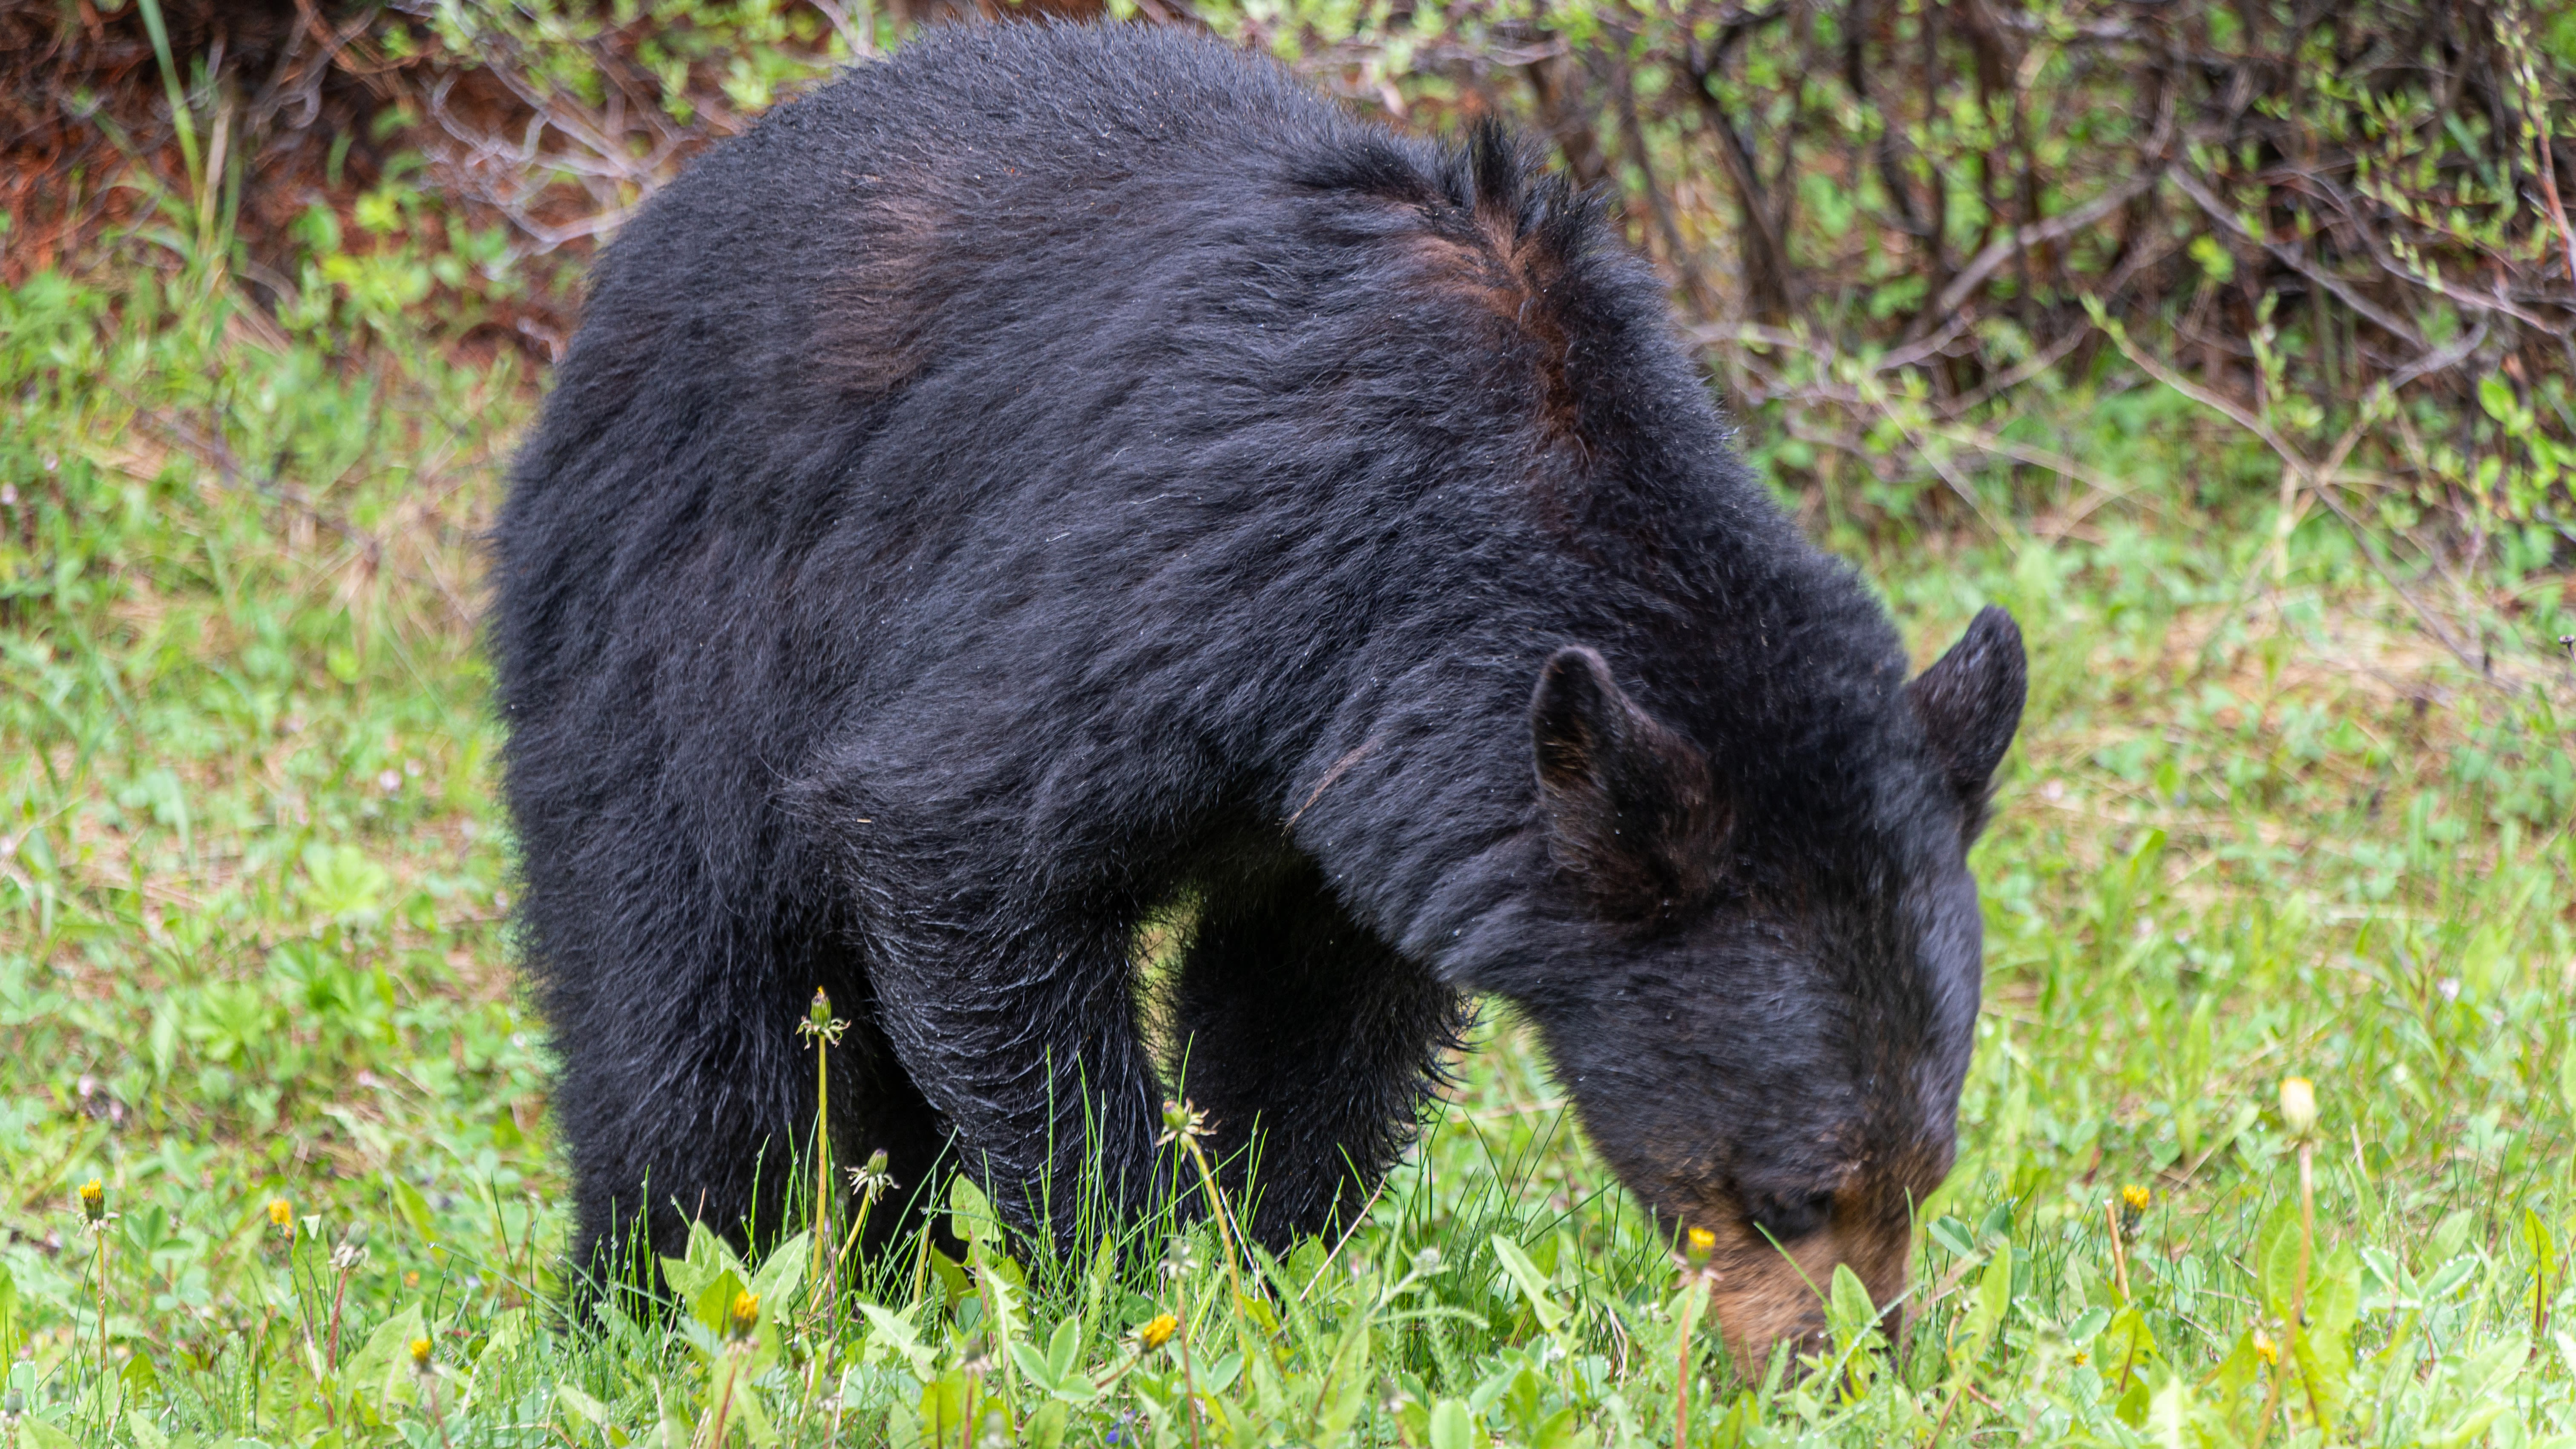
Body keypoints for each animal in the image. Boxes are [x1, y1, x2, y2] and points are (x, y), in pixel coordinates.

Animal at [492, 22, 2019, 1351]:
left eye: (1926, 1177)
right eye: (1789, 1193)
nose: (1845, 1366)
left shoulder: (1366, 781)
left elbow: (1311, 1020)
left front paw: (1264, 1272)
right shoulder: (1187, 569)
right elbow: (955, 838)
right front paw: (1124, 1278)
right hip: (662, 641)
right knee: (693, 1033)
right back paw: (649, 1298)